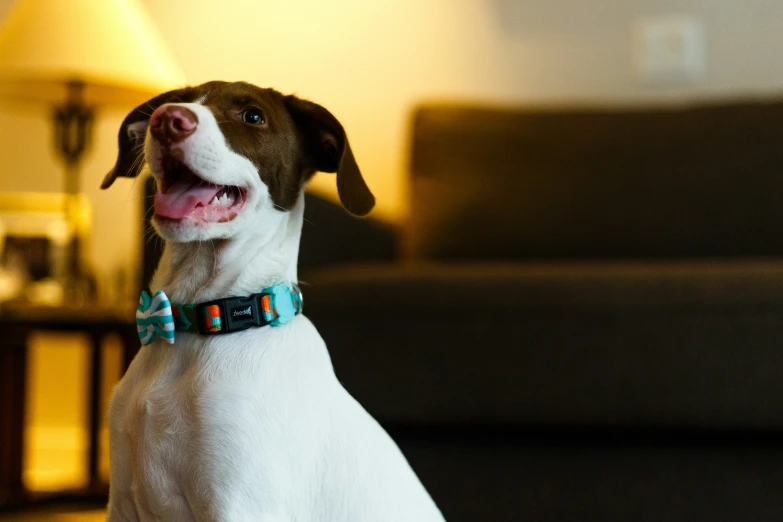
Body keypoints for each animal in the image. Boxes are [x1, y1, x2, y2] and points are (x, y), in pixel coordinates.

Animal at [103, 79, 448, 516]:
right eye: (173, 102)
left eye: (252, 116)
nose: (167, 120)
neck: (201, 322)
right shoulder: (122, 503)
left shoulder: (239, 507)